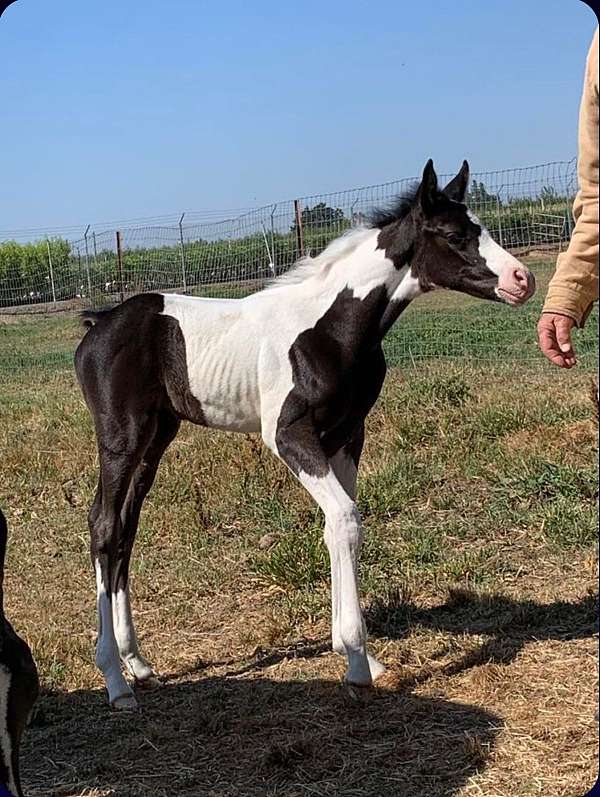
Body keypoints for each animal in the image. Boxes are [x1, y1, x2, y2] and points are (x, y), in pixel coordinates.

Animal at [74, 162, 536, 708]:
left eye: (480, 226)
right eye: (453, 235)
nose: (523, 279)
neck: (330, 328)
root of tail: (98, 322)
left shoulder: (346, 436)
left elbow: (338, 526)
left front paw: (359, 655)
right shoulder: (289, 436)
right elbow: (346, 520)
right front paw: (355, 662)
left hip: (156, 437)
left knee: (126, 528)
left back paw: (138, 664)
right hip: (120, 438)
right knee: (104, 526)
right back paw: (115, 680)